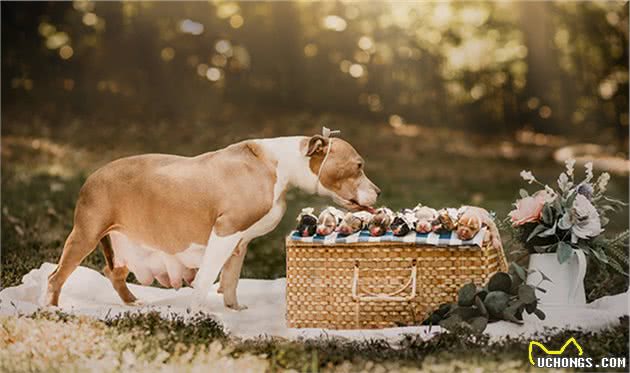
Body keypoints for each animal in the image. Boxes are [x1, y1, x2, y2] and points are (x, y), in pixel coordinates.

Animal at [45, 132, 380, 310]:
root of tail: (91, 177)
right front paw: (196, 313)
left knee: (112, 273)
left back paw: (132, 302)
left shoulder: (239, 242)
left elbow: (230, 279)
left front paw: (233, 309)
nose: (378, 191)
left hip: (122, 243)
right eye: (358, 166)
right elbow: (207, 277)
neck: (282, 166)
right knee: (56, 276)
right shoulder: (224, 232)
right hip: (86, 234)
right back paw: (52, 307)